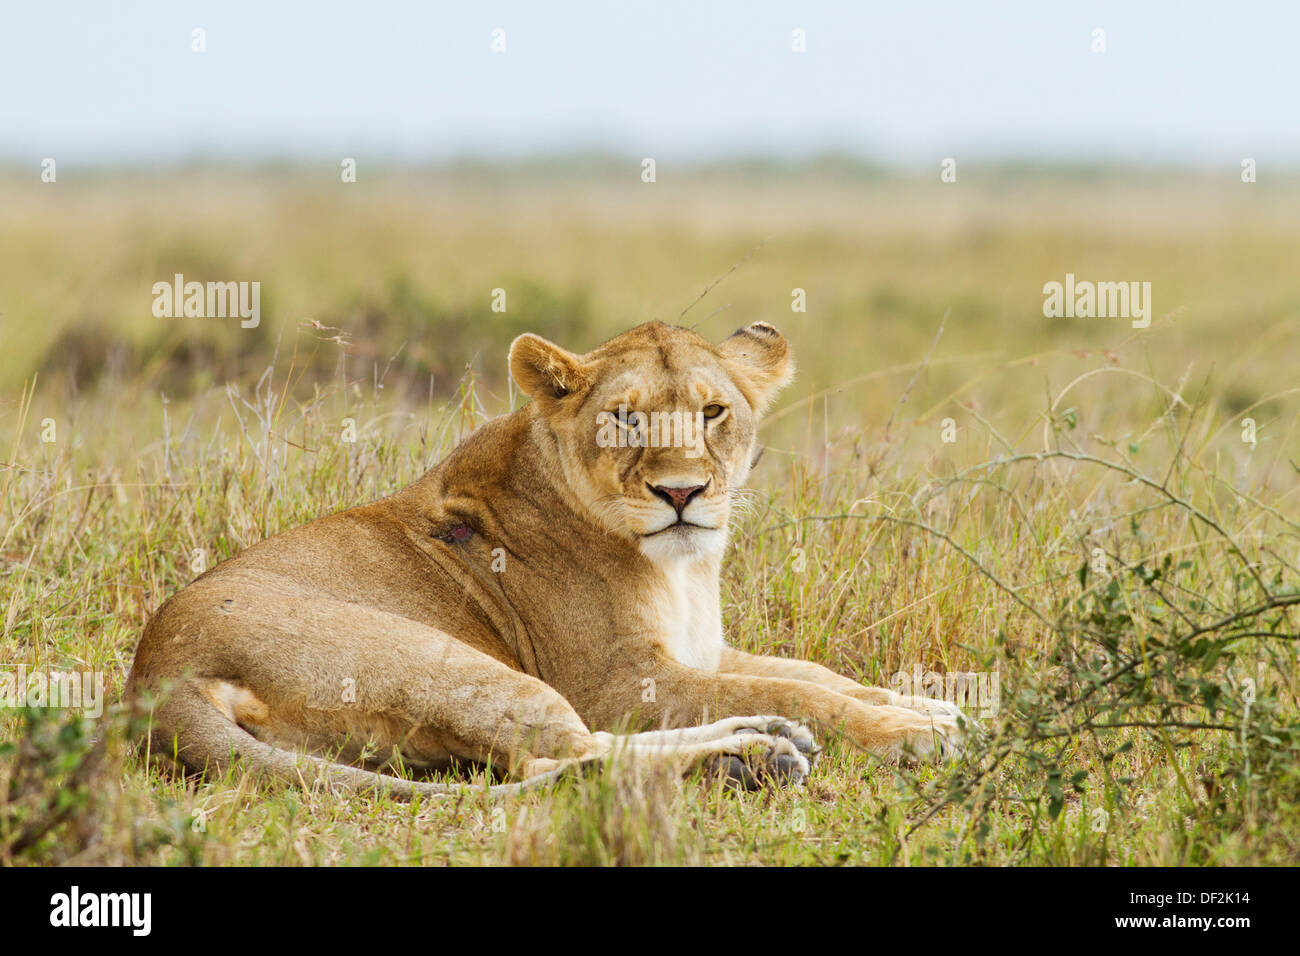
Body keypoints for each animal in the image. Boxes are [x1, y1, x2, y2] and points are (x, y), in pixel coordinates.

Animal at [127, 320, 966, 798]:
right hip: (446, 661)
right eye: (625, 419)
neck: (684, 571)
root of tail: (153, 677)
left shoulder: (700, 652)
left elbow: (812, 675)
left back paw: (763, 741)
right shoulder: (615, 681)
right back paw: (749, 759)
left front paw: (929, 703)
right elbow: (805, 690)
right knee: (562, 759)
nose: (683, 491)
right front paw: (913, 735)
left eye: (712, 411)